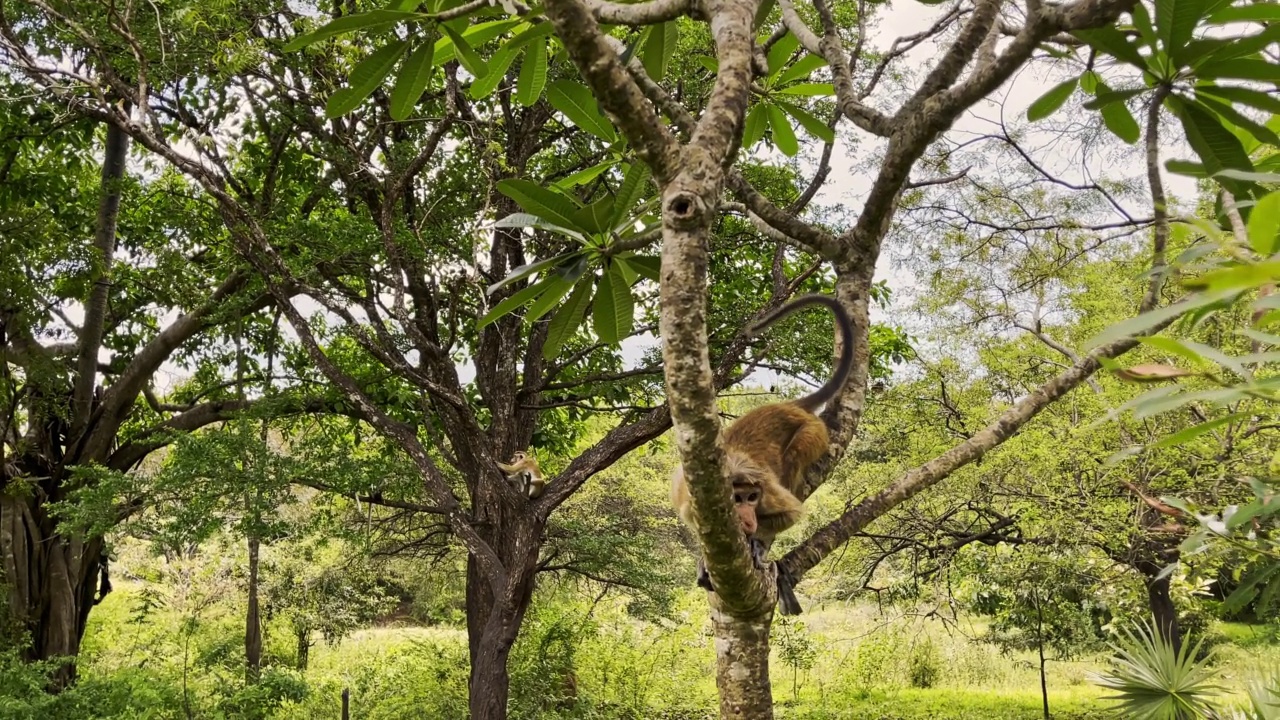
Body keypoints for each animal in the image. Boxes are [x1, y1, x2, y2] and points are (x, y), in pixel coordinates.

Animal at [670, 294, 849, 614]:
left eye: (752, 498)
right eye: (737, 499)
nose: (749, 520)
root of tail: (787, 405)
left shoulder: (768, 492)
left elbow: (792, 512)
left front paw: (756, 542)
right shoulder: (690, 501)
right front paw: (706, 559)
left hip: (814, 431)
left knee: (794, 457)